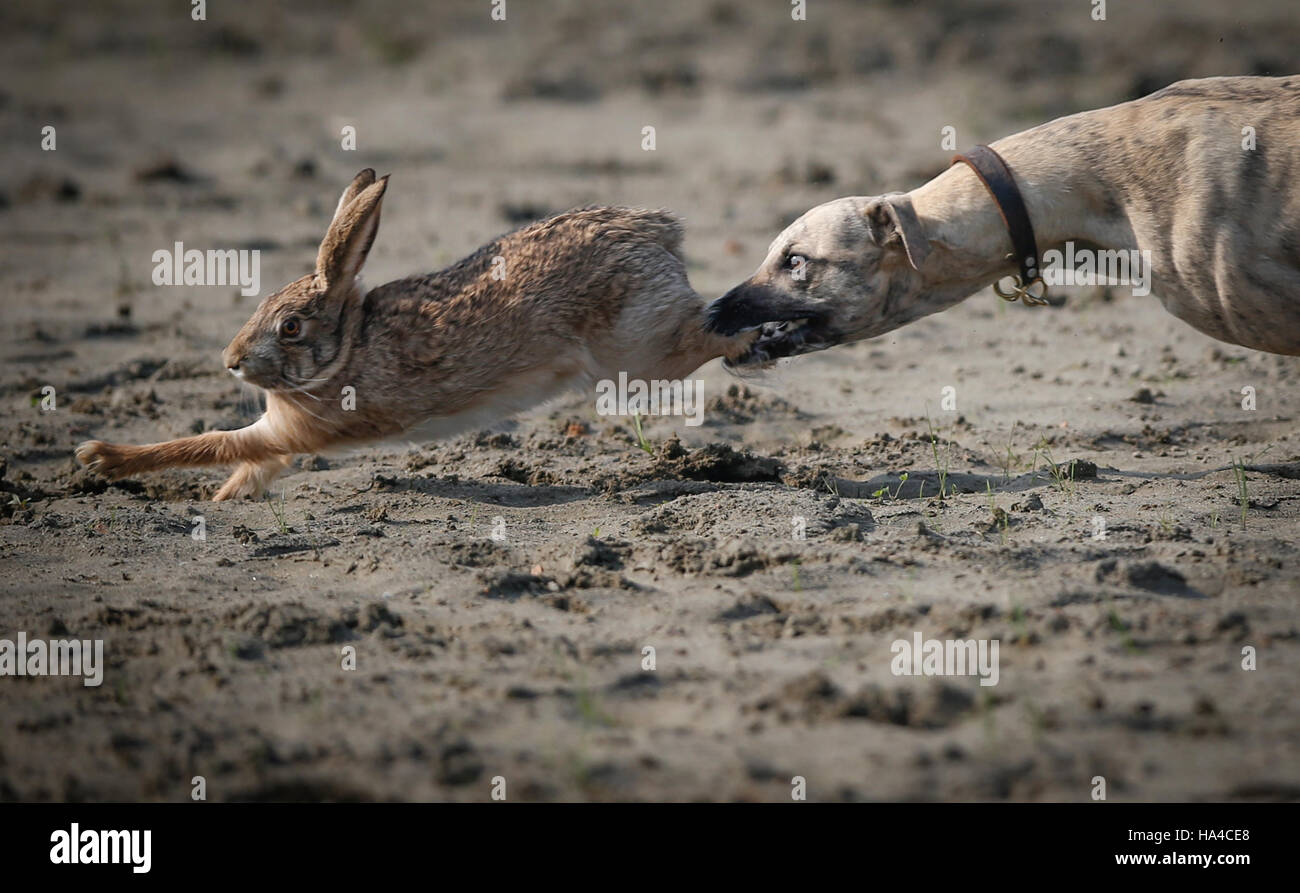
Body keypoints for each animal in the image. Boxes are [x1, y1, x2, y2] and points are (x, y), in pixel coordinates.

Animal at [76, 168, 755, 500]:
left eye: (290, 326)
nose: (231, 361)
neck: (345, 347)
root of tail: (656, 230)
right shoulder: (288, 439)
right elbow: (254, 464)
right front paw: (220, 502)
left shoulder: (300, 428)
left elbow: (212, 443)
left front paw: (102, 458)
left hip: (637, 351)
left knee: (701, 331)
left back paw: (748, 341)